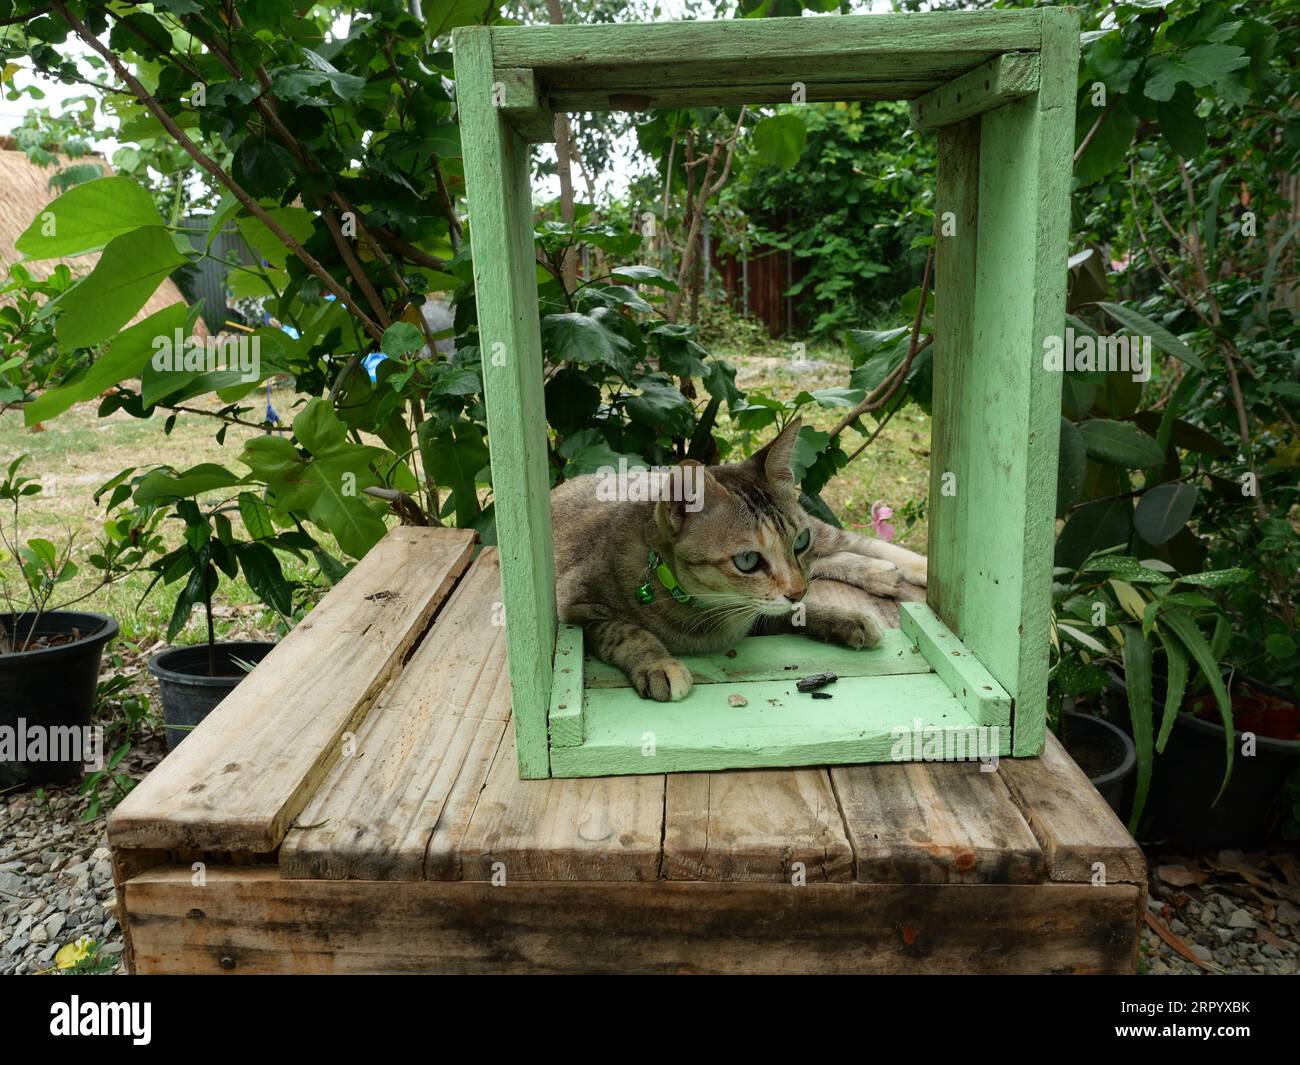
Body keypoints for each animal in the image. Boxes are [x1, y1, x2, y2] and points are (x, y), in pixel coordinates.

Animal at [553, 421, 930, 702]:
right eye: (747, 560)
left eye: (800, 542)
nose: (798, 590)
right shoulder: (576, 612)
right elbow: (625, 631)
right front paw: (658, 663)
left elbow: (796, 610)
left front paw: (842, 617)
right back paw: (881, 574)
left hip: (828, 536)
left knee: (851, 542)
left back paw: (912, 568)